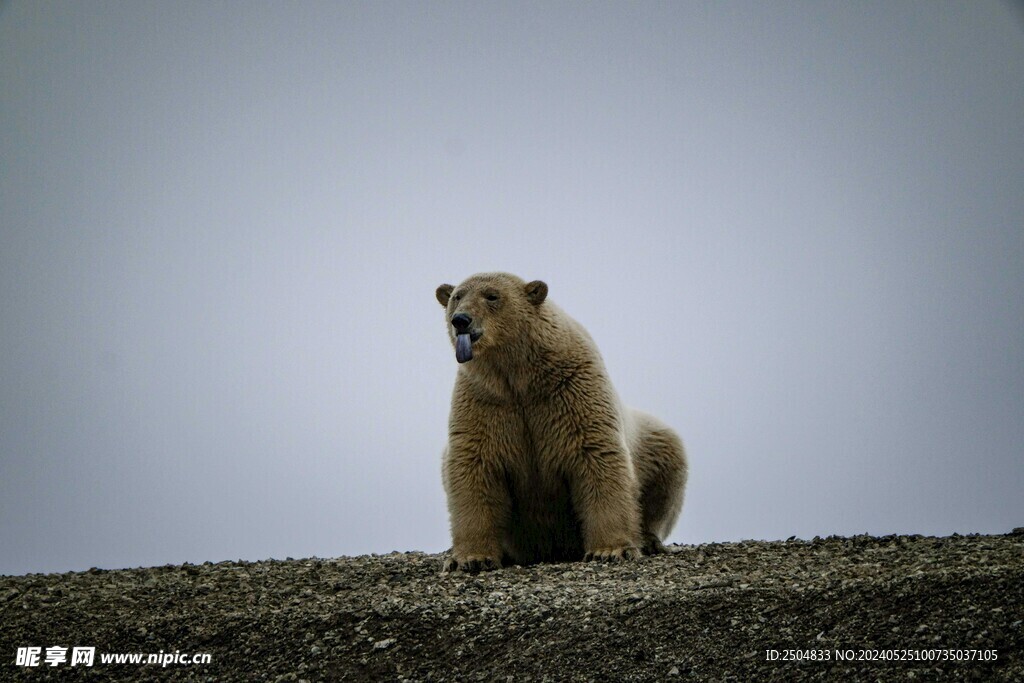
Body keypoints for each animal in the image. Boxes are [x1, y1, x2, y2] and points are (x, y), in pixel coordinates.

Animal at [434, 272, 688, 573]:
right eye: (456, 296)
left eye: (492, 296)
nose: (460, 320)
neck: (521, 378)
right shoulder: (486, 402)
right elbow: (475, 465)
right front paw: (471, 559)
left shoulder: (572, 390)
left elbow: (596, 456)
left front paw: (610, 550)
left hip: (651, 440)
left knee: (667, 467)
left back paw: (648, 539)